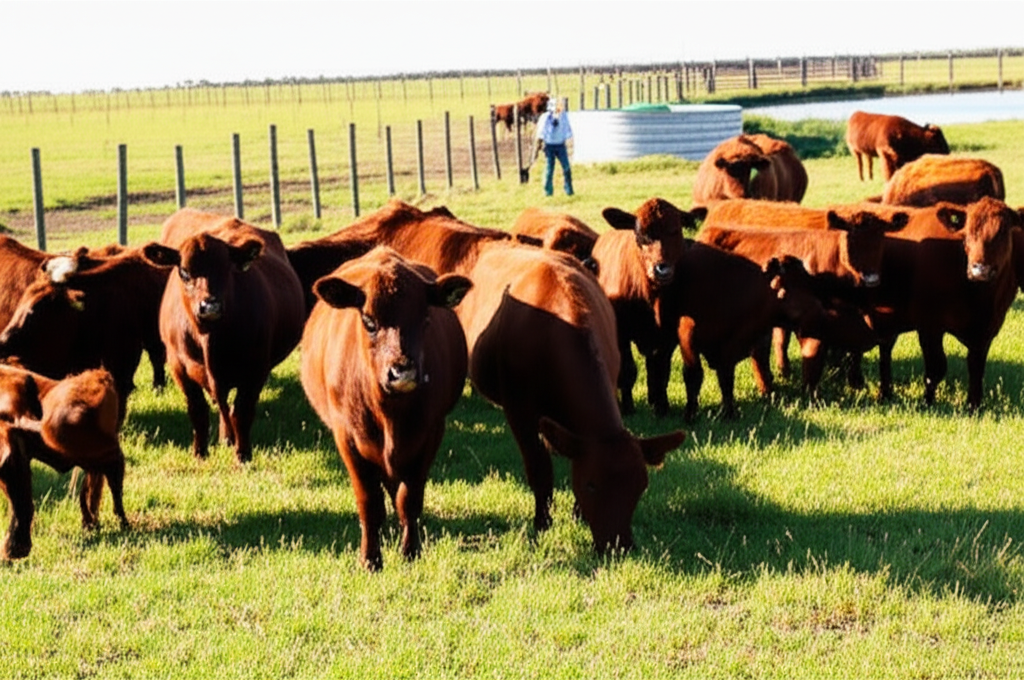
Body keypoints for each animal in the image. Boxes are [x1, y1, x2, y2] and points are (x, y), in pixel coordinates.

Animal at [141, 209, 305, 463]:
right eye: (184, 272)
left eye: (227, 269)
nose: (210, 305)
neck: (208, 337)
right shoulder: (178, 367)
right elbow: (198, 411)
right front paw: (200, 453)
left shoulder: (256, 368)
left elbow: (242, 412)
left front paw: (243, 455)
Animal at [300, 247, 472, 570]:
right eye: (369, 321)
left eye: (425, 318)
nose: (402, 371)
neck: (389, 414)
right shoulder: (347, 439)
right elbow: (370, 503)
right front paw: (370, 559)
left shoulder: (430, 434)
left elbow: (409, 499)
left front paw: (410, 552)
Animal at [593, 198, 692, 416]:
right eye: (641, 234)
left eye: (676, 230)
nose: (662, 269)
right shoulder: (621, 332)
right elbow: (627, 370)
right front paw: (628, 408)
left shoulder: (668, 335)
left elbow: (661, 371)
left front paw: (661, 407)